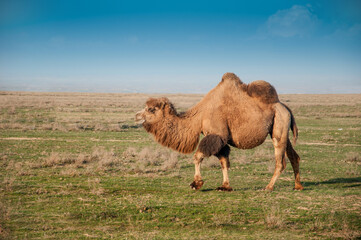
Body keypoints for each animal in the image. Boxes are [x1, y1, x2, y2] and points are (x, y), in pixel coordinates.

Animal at [134, 72, 302, 191]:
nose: (136, 116)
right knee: (293, 155)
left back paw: (268, 187)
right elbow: (224, 162)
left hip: (279, 124)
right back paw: (297, 186)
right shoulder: (220, 139)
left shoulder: (216, 135)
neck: (199, 116)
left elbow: (198, 157)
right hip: (281, 128)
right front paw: (225, 186)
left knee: (280, 161)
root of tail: (285, 107)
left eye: (151, 109)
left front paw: (196, 183)